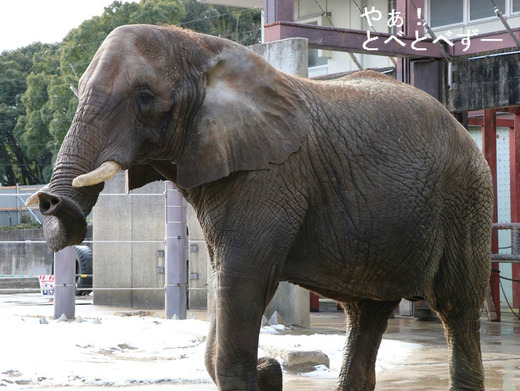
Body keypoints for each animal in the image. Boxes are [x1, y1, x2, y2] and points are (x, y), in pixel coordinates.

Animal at [28, 25, 492, 391]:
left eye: (144, 97)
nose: (48, 200)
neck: (201, 47)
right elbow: (222, 280)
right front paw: (270, 371)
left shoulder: (268, 176)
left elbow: (242, 279)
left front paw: (264, 370)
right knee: (367, 312)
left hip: (466, 201)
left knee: (457, 309)